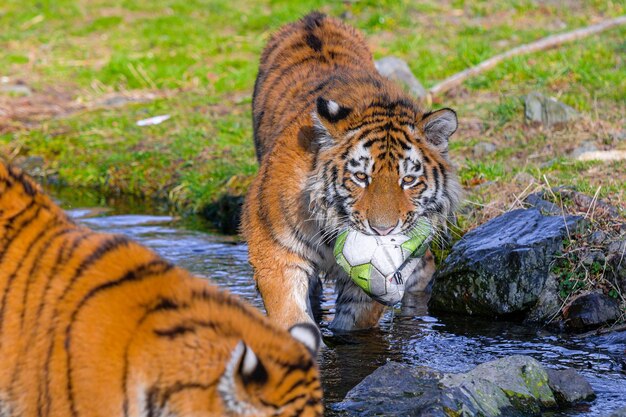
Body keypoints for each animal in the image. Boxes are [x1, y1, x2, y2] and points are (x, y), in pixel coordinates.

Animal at [241, 12, 460, 332]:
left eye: (408, 180)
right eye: (360, 177)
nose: (383, 230)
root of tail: (313, 18)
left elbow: (356, 319)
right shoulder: (273, 247)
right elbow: (290, 315)